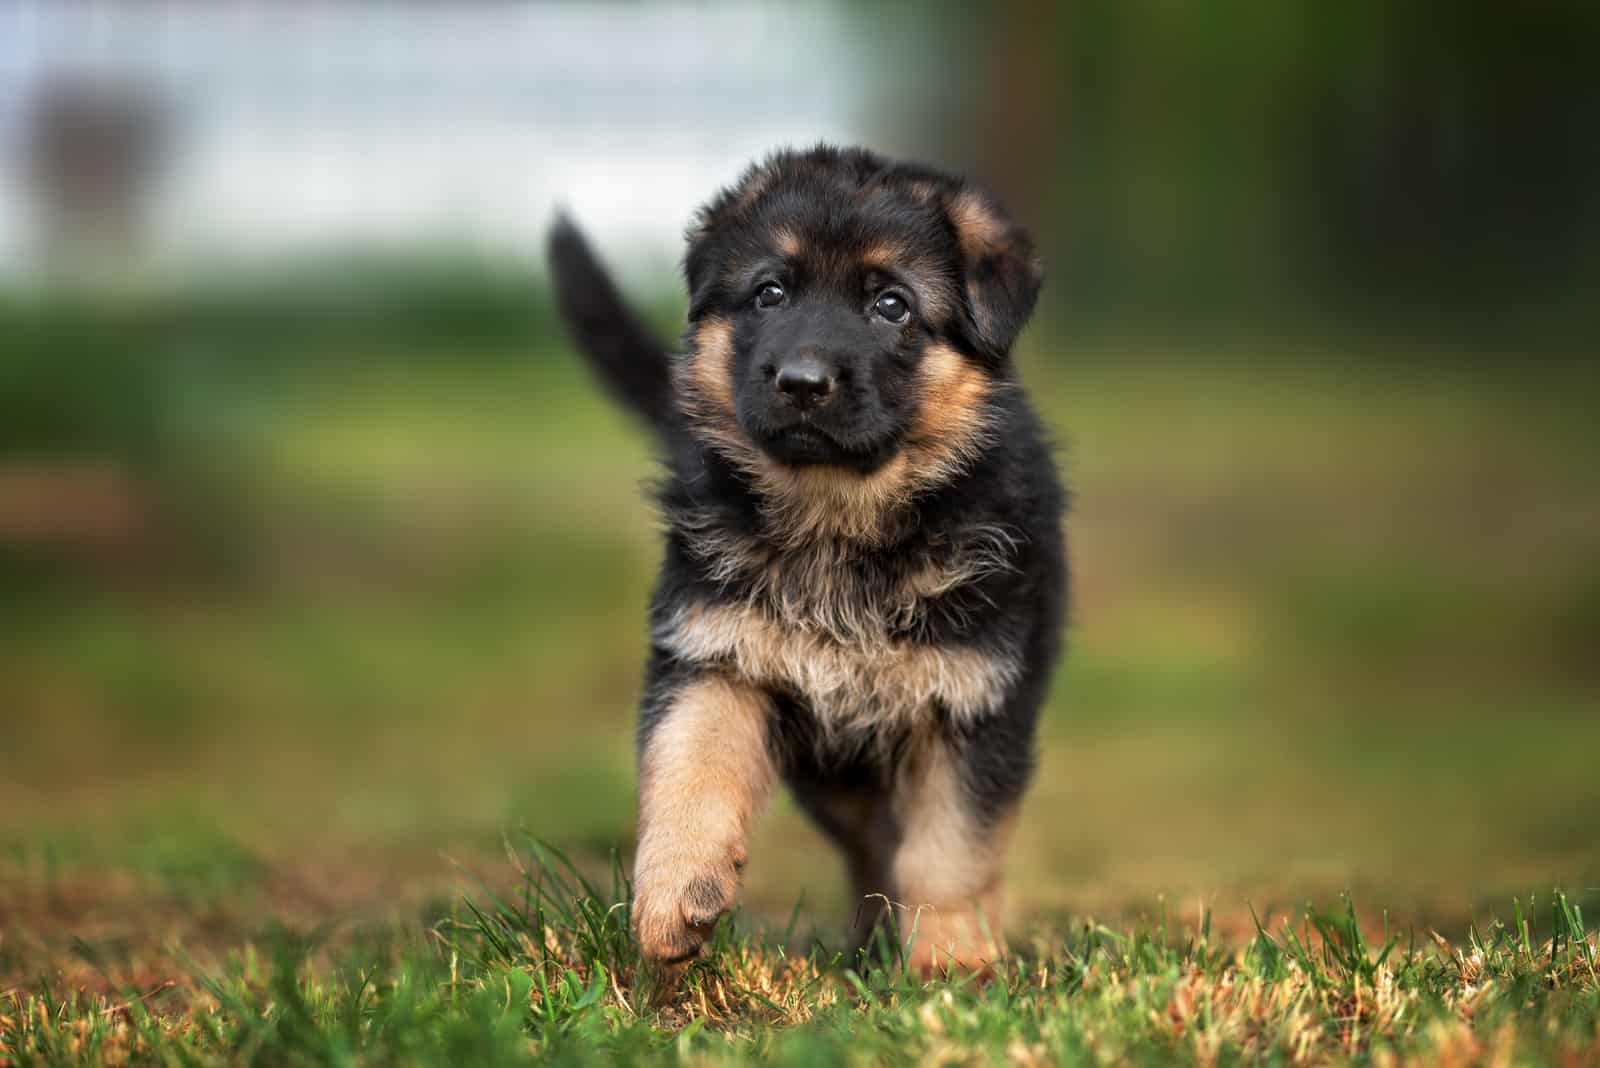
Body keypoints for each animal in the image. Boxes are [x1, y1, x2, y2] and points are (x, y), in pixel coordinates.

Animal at [547, 146, 1062, 972]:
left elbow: (950, 850)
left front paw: (950, 964)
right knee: (866, 846)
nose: (802, 383)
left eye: (892, 305)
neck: (837, 520)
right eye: (770, 293)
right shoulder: (715, 654)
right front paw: (673, 897)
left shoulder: (971, 703)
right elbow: (689, 770)